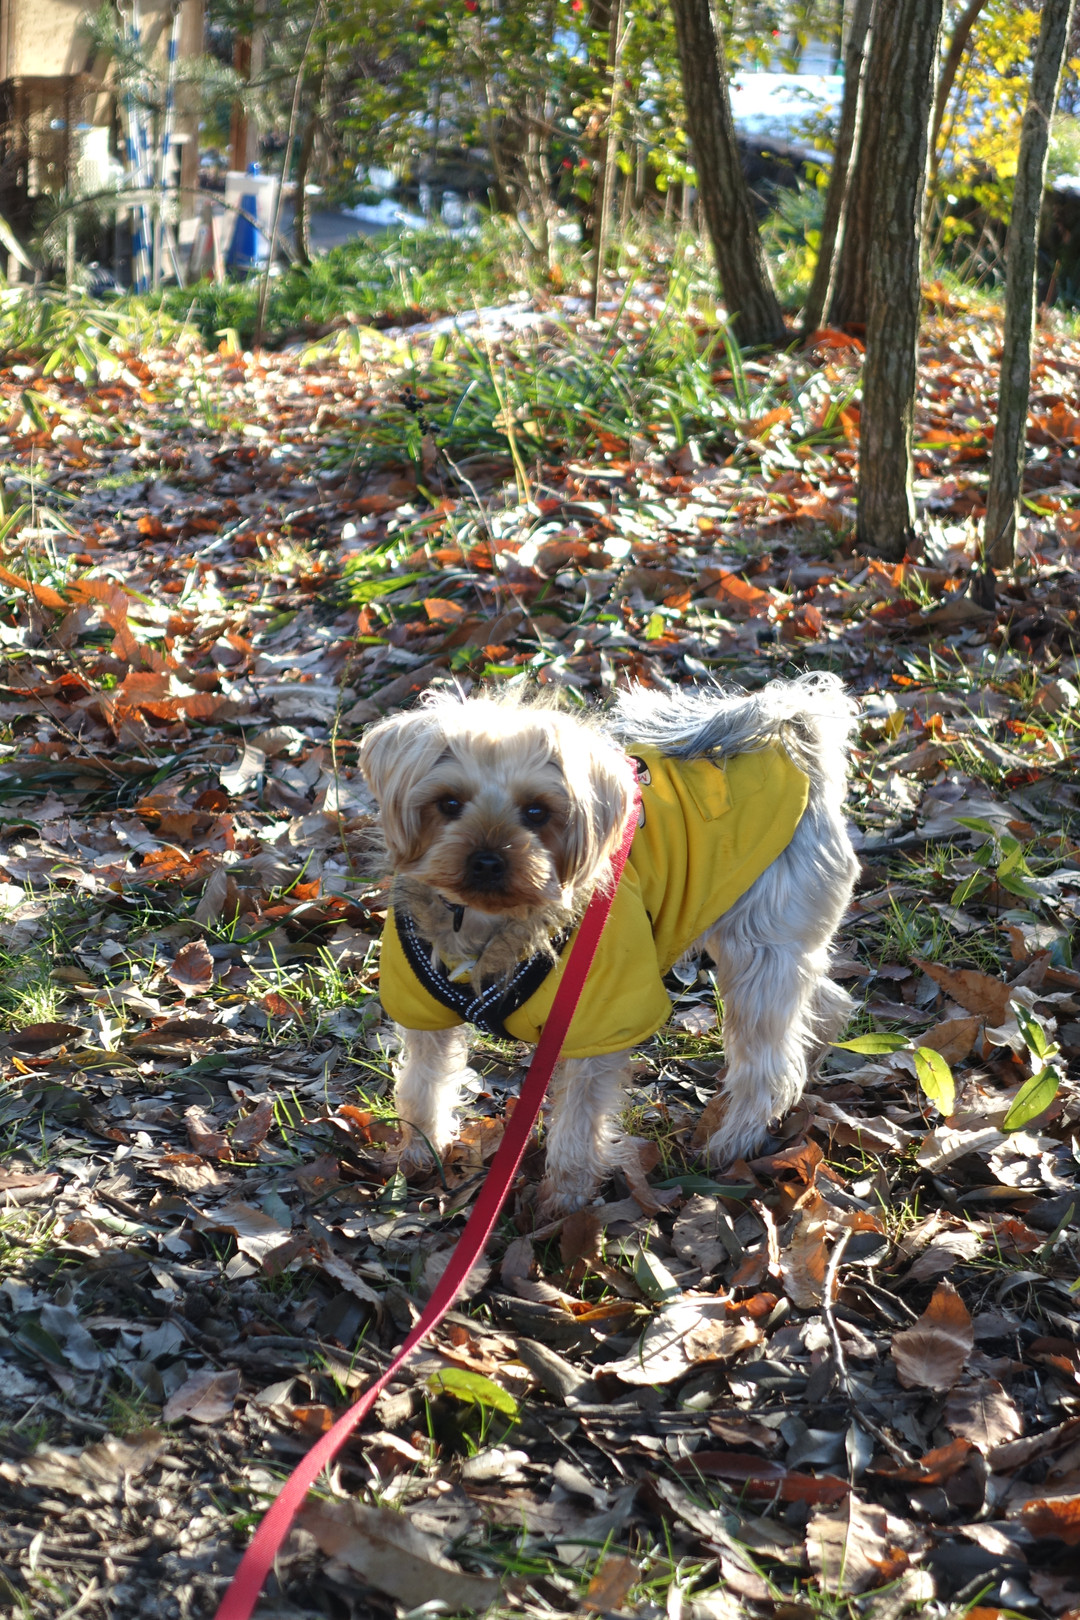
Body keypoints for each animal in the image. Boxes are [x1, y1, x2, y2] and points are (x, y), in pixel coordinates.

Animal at [359, 673, 859, 1214]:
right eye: (448, 803)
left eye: (537, 812)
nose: (488, 860)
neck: (492, 921)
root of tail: (795, 733)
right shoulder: (423, 1007)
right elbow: (422, 1081)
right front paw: (420, 1152)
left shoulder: (597, 1019)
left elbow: (580, 1118)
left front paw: (566, 1197)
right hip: (773, 937)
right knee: (824, 1002)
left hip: (759, 939)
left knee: (768, 1063)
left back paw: (732, 1142)